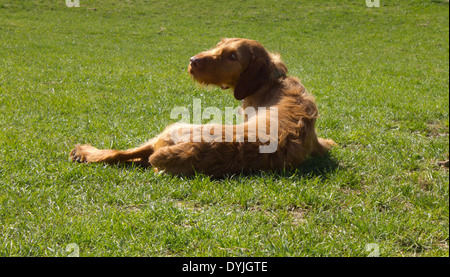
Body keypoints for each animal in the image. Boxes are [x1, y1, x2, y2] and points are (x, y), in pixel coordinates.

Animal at [69, 37, 334, 176]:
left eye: (233, 56)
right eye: (219, 44)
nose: (192, 61)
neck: (271, 81)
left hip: (171, 129)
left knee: (120, 155)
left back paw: (84, 152)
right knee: (127, 157)